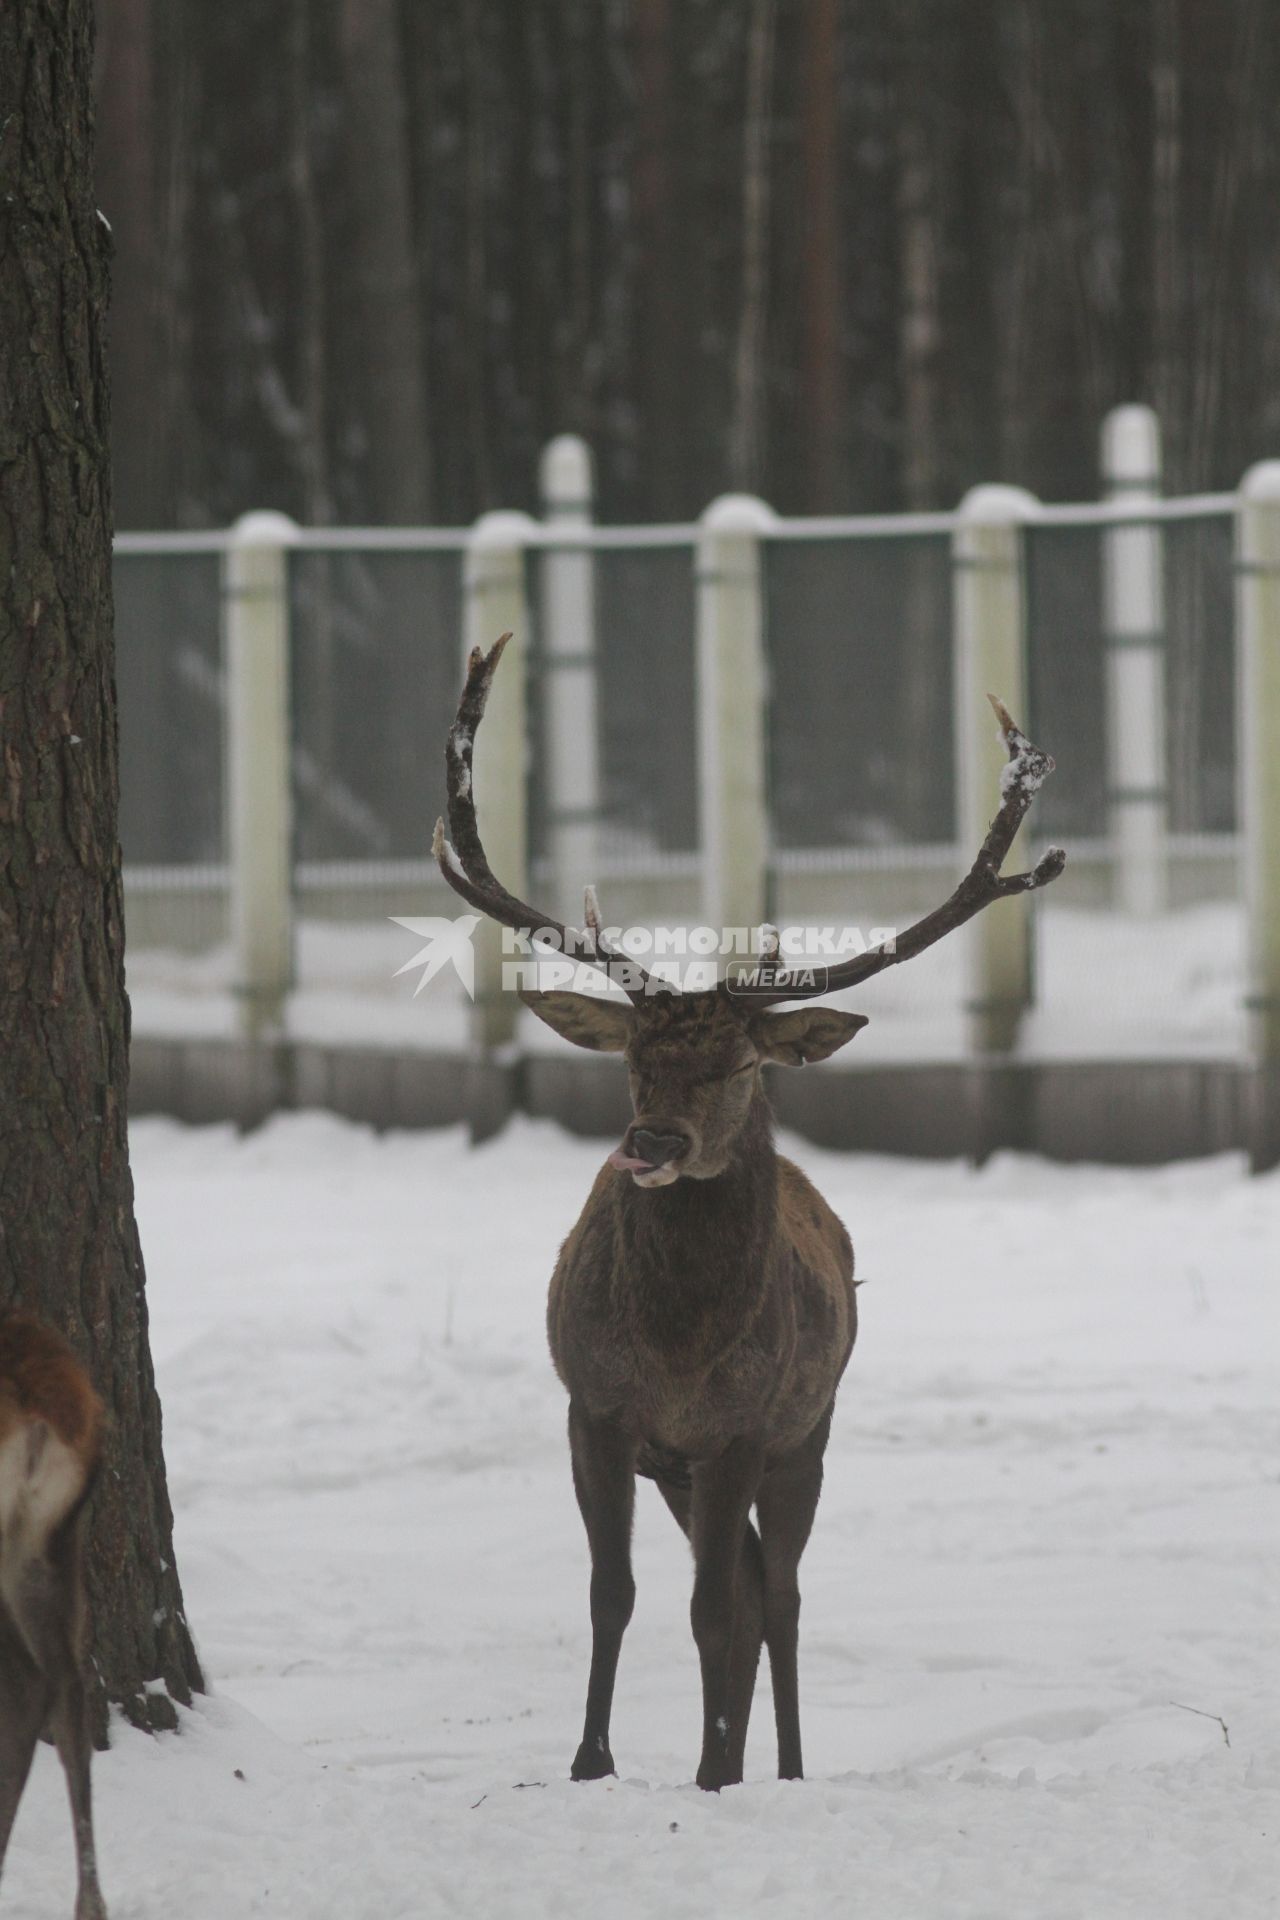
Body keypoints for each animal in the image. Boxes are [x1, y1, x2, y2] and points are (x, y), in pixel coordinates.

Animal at [435, 637, 1066, 1789]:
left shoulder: (738, 1428)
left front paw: (711, 1773)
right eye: (634, 1060)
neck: (678, 1351)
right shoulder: (594, 1409)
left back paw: (781, 1766)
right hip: (686, 1465)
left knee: (776, 1595)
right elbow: (614, 1596)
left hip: (808, 1428)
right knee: (743, 1582)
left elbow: (713, 1611)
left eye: (735, 1063)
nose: (650, 1143)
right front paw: (590, 1764)